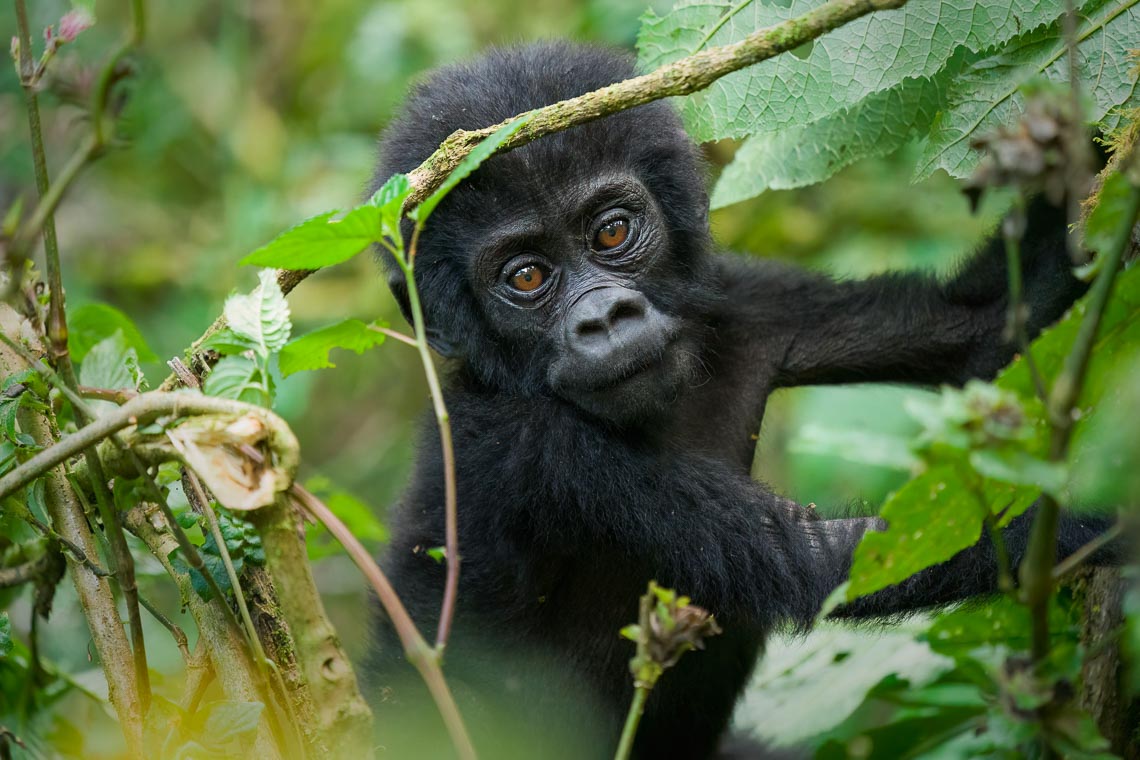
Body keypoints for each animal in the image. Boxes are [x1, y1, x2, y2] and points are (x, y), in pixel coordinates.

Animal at [367, 43, 1112, 760]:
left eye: (610, 233)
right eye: (525, 276)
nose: (604, 319)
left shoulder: (741, 301)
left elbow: (987, 325)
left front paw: (1077, 142)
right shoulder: (527, 442)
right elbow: (817, 557)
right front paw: (1100, 529)